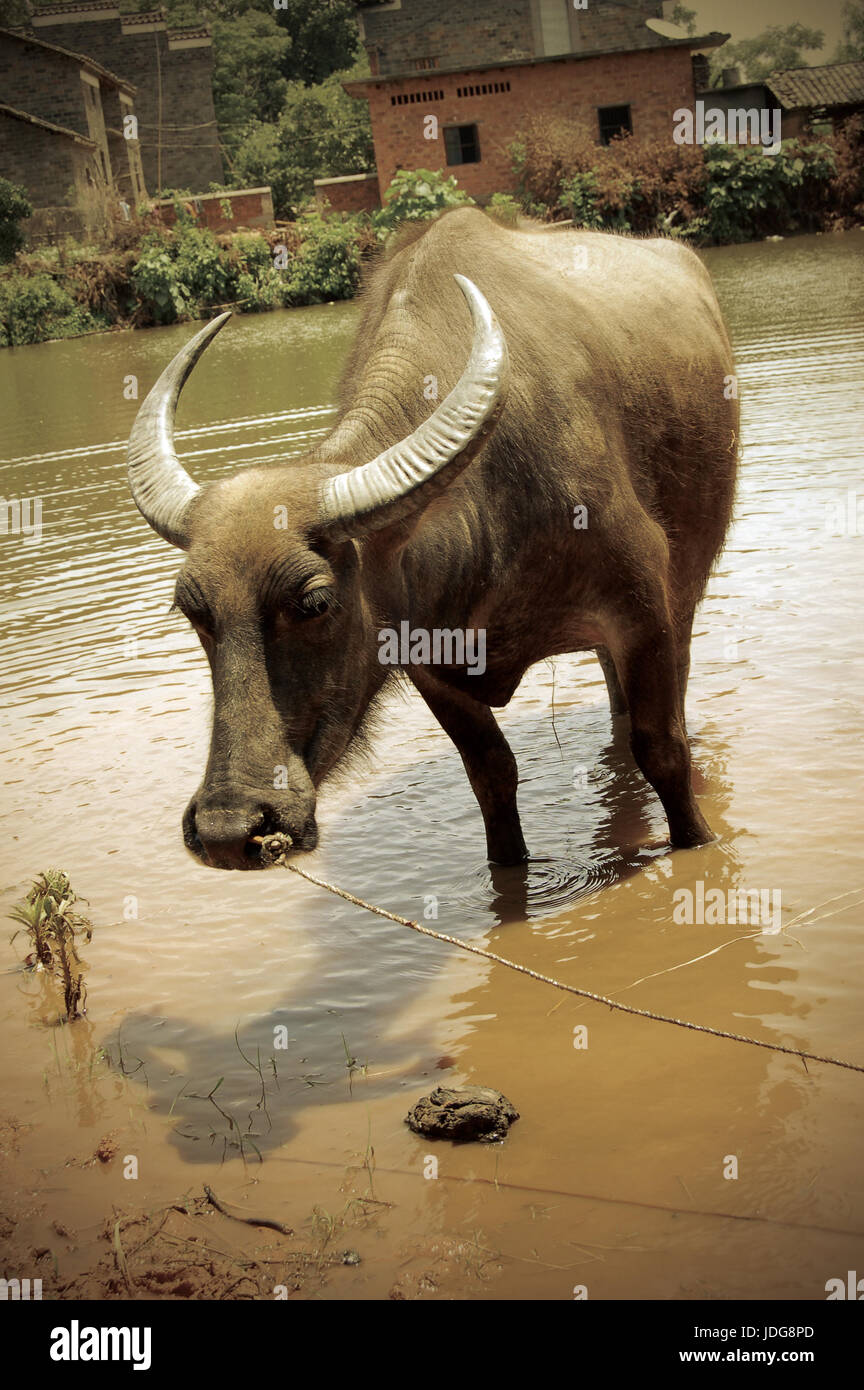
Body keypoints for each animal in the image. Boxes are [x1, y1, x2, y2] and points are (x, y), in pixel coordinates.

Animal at [127, 208, 737, 870]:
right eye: (192, 610)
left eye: (314, 602)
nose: (228, 830)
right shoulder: (428, 663)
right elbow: (490, 775)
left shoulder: (644, 610)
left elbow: (663, 749)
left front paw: (698, 839)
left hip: (685, 592)